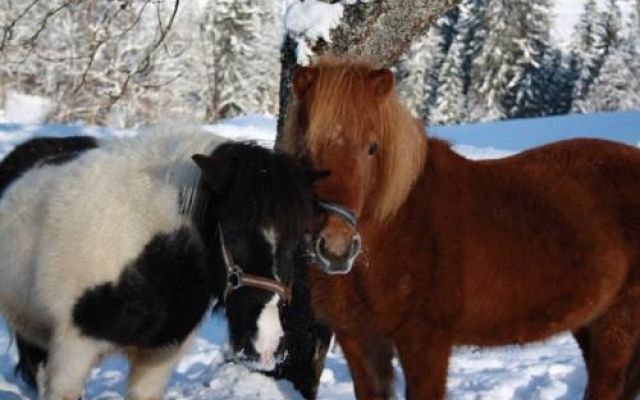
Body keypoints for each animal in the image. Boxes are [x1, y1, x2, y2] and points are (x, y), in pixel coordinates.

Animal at [282, 55, 640, 400]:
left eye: (372, 148)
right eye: (306, 150)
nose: (337, 248)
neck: (397, 228)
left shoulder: (425, 343)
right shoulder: (359, 341)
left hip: (617, 323)